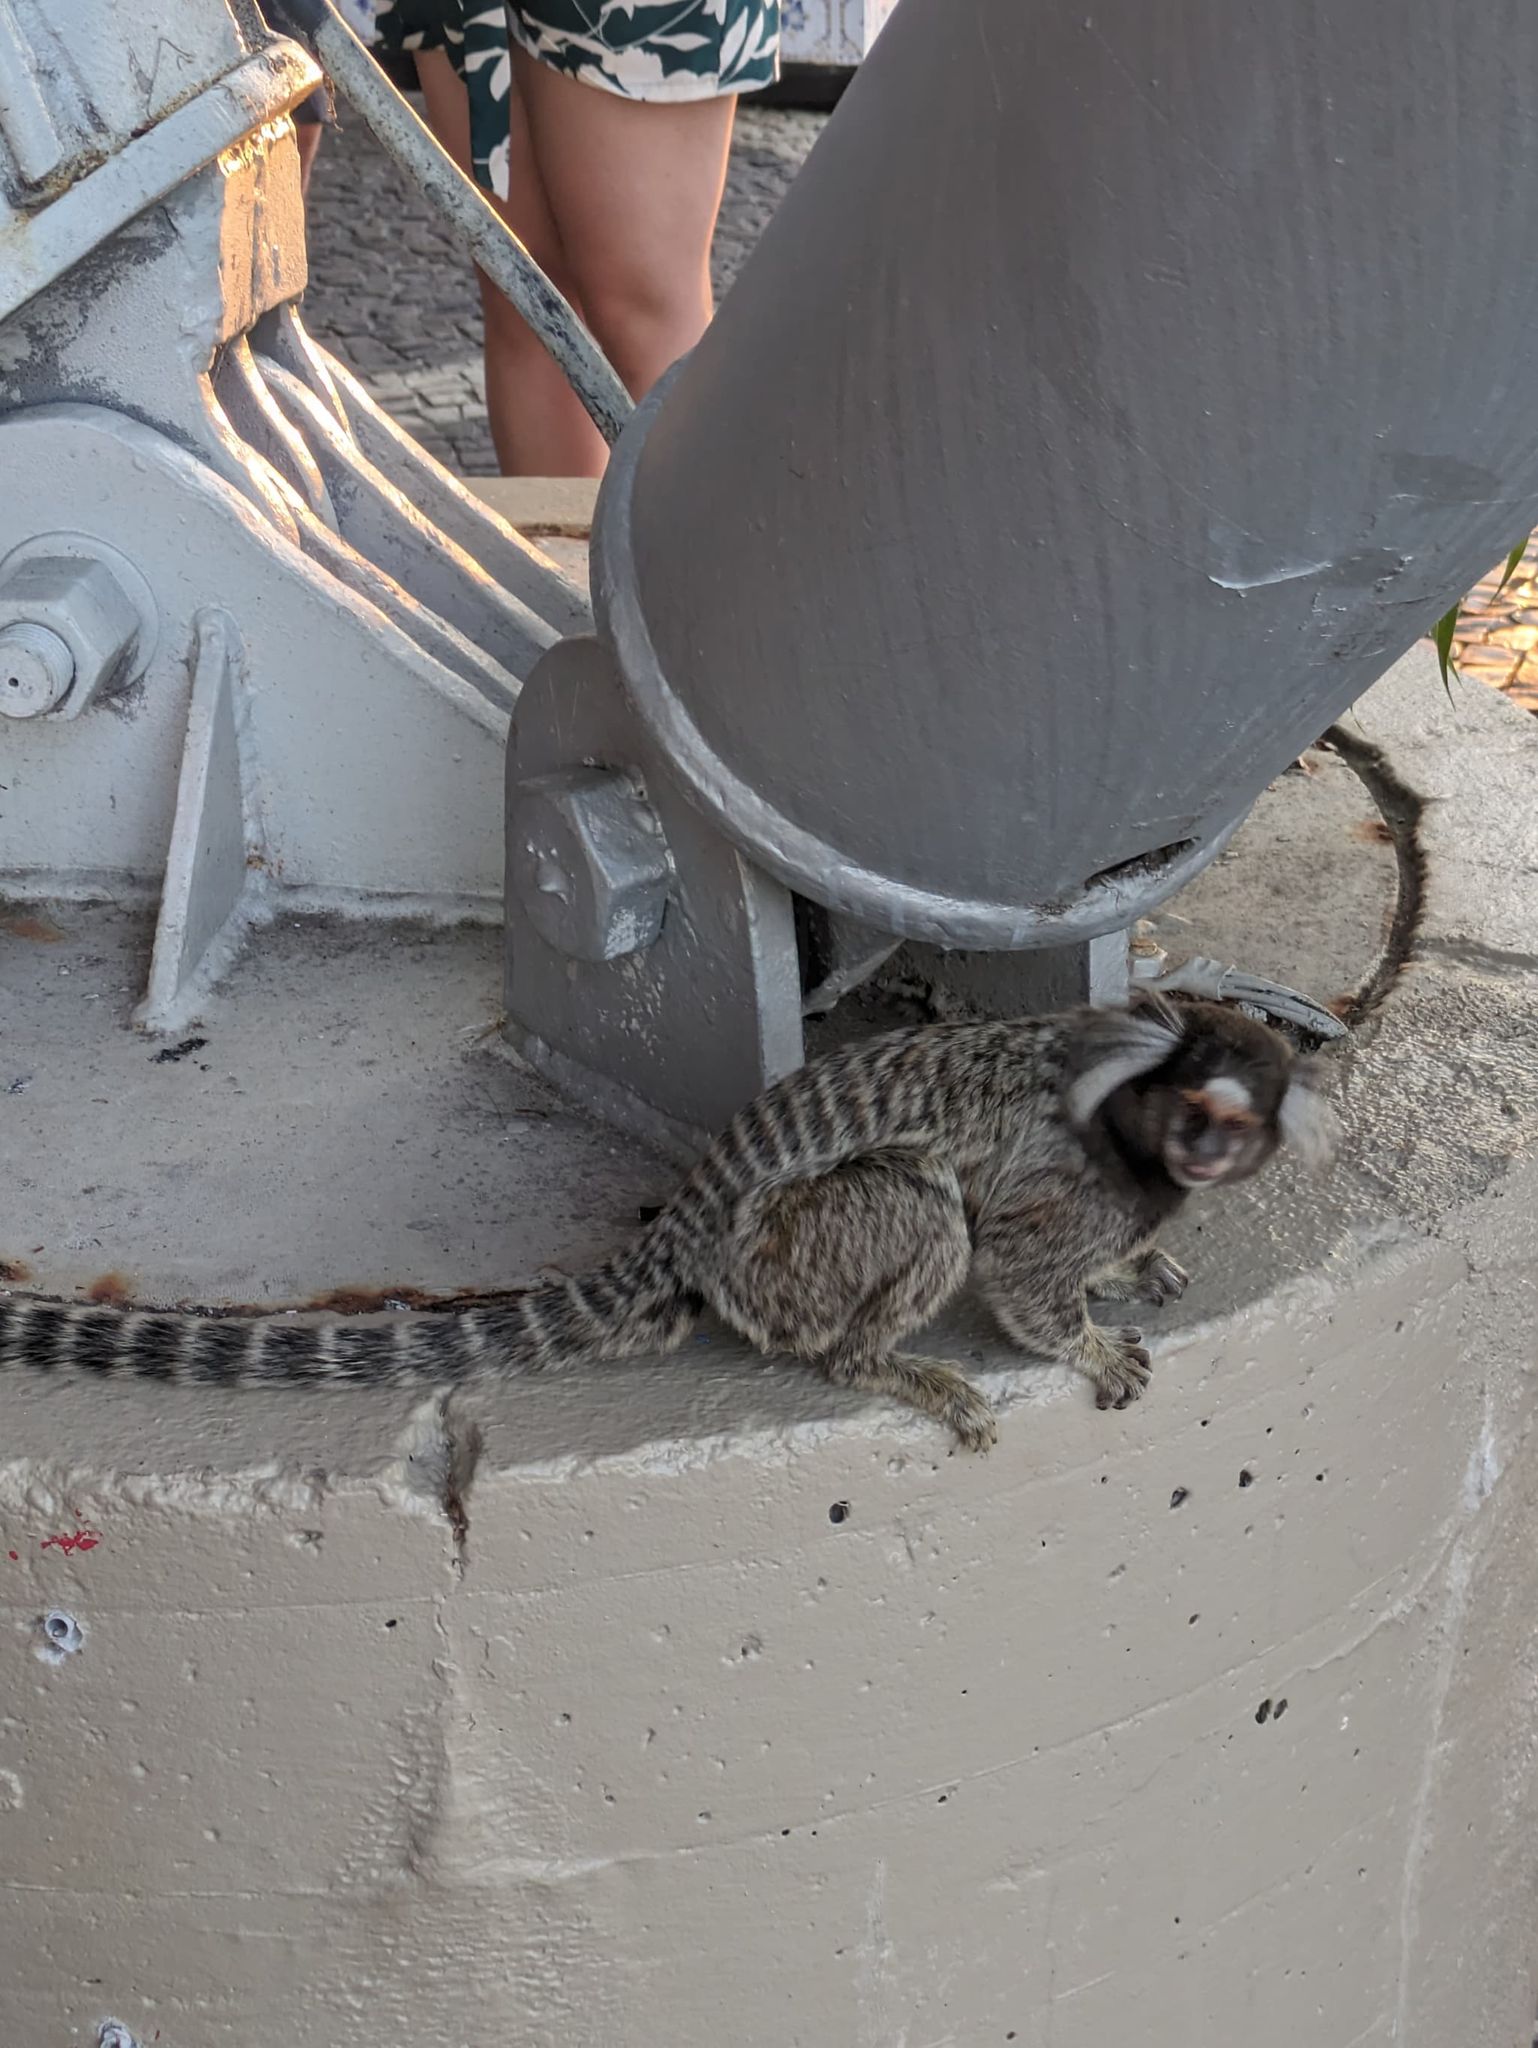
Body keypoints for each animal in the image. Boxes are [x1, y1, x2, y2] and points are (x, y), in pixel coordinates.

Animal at [0, 996, 1337, 1451]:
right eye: (1190, 1110)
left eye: (1231, 1122)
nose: (1200, 1151)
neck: (1127, 1122)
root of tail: (683, 1227)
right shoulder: (1069, 1180)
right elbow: (1013, 1258)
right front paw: (1087, 1343)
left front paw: (1140, 1263)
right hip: (789, 1251)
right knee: (916, 1204)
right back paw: (886, 1364)